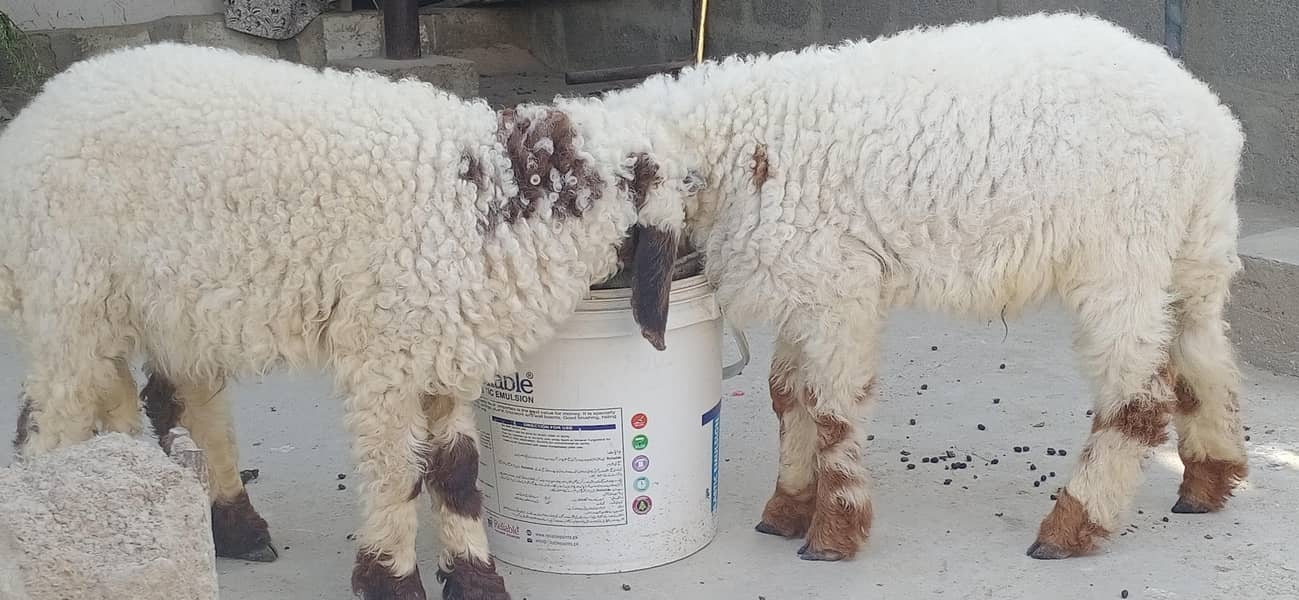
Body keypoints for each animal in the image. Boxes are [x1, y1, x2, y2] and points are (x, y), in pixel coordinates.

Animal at [0, 41, 697, 600]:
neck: (491, 197)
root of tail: (27, 128)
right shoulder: (389, 356)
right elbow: (398, 471)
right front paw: (391, 581)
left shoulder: (445, 351)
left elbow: (456, 468)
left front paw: (475, 580)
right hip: (69, 290)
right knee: (53, 419)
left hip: (171, 303)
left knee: (171, 398)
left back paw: (234, 525)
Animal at [565, 12, 1251, 562]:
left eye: (578, 198)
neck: (736, 147)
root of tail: (1207, 118)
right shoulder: (803, 281)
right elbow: (789, 395)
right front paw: (786, 509)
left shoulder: (837, 284)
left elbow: (830, 405)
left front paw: (831, 535)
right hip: (1197, 246)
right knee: (1203, 356)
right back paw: (1208, 483)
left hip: (1121, 254)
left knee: (1139, 395)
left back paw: (1071, 527)